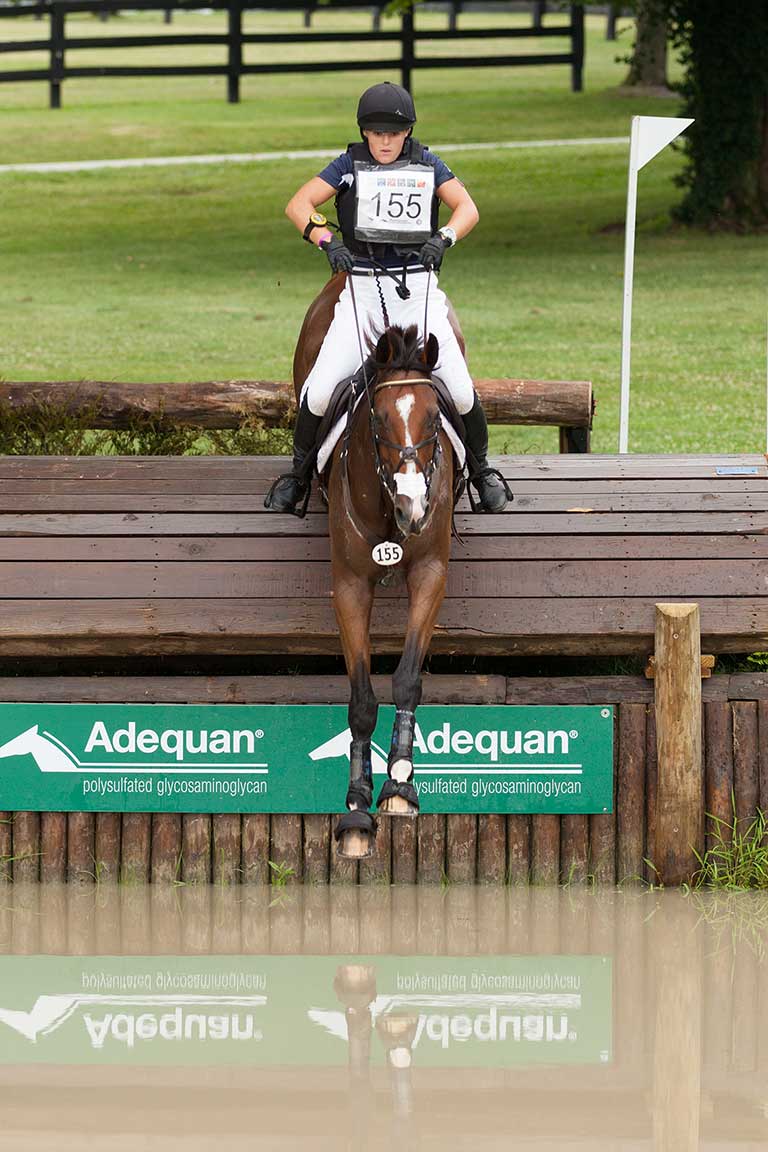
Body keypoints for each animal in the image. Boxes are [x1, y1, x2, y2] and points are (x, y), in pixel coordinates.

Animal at [292, 274, 455, 861]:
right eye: (379, 419)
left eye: (434, 417)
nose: (414, 507)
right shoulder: (350, 585)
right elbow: (361, 698)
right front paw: (357, 808)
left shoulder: (430, 571)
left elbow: (406, 678)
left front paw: (400, 784)